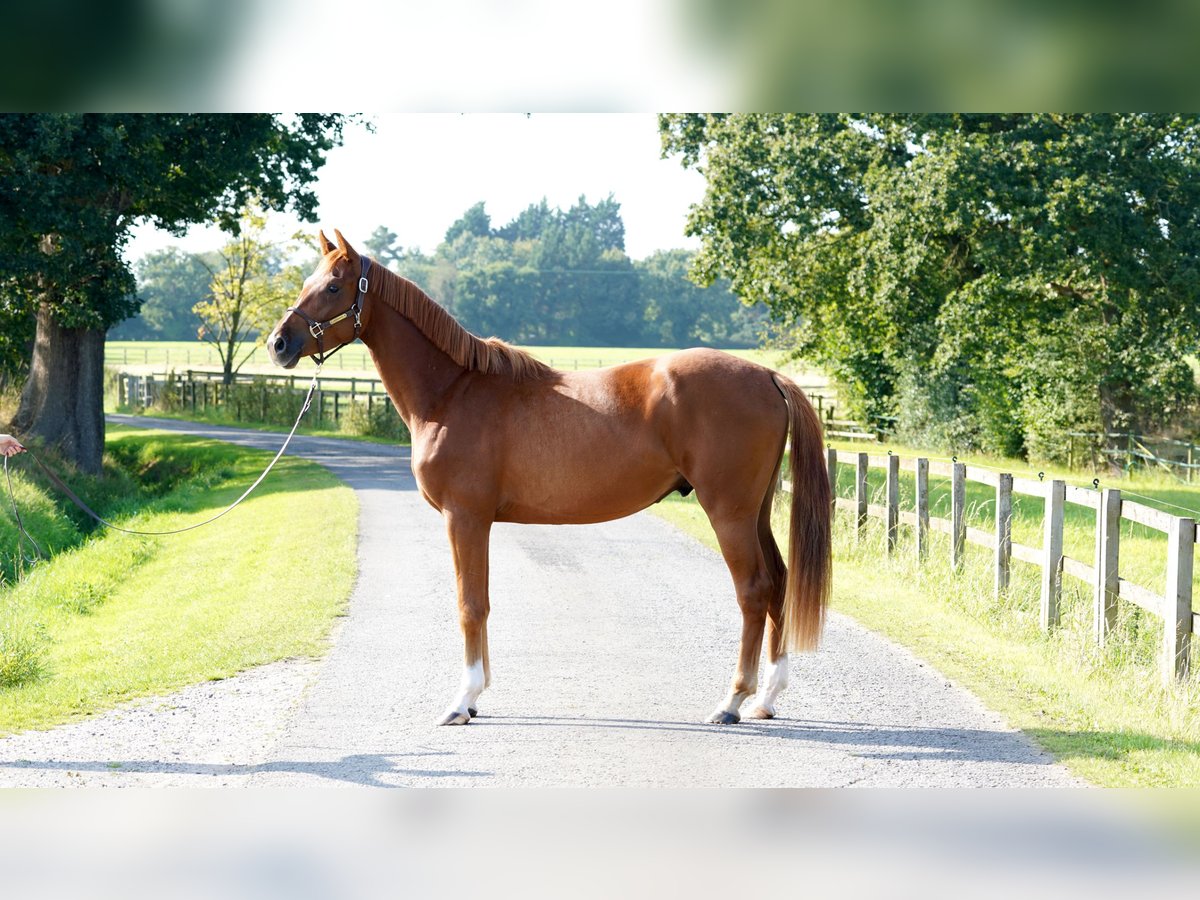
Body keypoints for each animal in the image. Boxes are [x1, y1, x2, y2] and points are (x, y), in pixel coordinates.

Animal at [267, 230, 830, 724]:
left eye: (333, 287)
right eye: (307, 281)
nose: (279, 344)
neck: (452, 392)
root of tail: (767, 375)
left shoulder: (464, 518)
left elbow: (470, 604)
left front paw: (462, 701)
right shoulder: (475, 522)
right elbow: (480, 602)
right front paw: (475, 696)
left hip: (728, 512)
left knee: (754, 591)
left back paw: (732, 701)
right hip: (755, 511)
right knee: (779, 583)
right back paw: (767, 698)